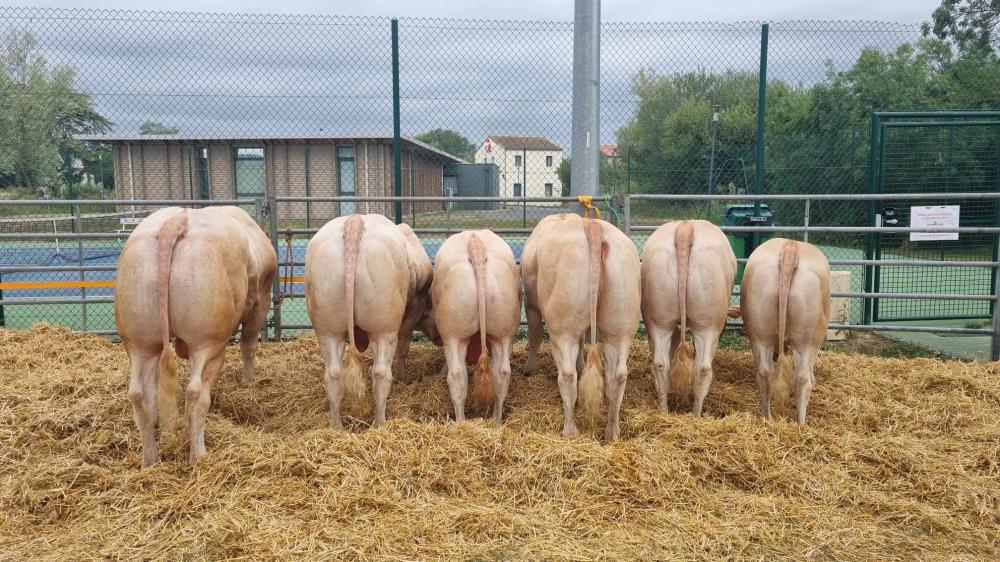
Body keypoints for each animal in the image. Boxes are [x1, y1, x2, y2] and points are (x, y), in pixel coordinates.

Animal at [115, 205, 276, 464]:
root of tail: (176, 221)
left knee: (140, 396)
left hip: (139, 338)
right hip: (207, 339)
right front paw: (249, 381)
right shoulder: (260, 304)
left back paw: (150, 461)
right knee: (196, 394)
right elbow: (249, 345)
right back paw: (198, 456)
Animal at [302, 212, 432, 426]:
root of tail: (355, 220)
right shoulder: (414, 307)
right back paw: (380, 423)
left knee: (333, 374)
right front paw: (403, 377)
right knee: (381, 373)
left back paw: (337, 426)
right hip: (384, 327)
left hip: (328, 327)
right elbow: (404, 345)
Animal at [520, 213, 636, 438]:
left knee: (567, 376)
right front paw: (582, 364)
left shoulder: (531, 305)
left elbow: (535, 335)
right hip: (620, 324)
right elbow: (583, 340)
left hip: (562, 328)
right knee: (617, 376)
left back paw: (569, 430)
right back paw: (612, 432)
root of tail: (590, 225)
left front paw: (529, 368)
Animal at [640, 219, 736, 416]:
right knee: (703, 368)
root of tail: (685, 226)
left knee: (660, 364)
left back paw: (664, 411)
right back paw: (696, 414)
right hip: (707, 322)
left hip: (658, 318)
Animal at [740, 234, 832, 422]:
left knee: (765, 372)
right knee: (802, 378)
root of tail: (790, 247)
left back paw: (768, 418)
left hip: (760, 332)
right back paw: (801, 422)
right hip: (808, 337)